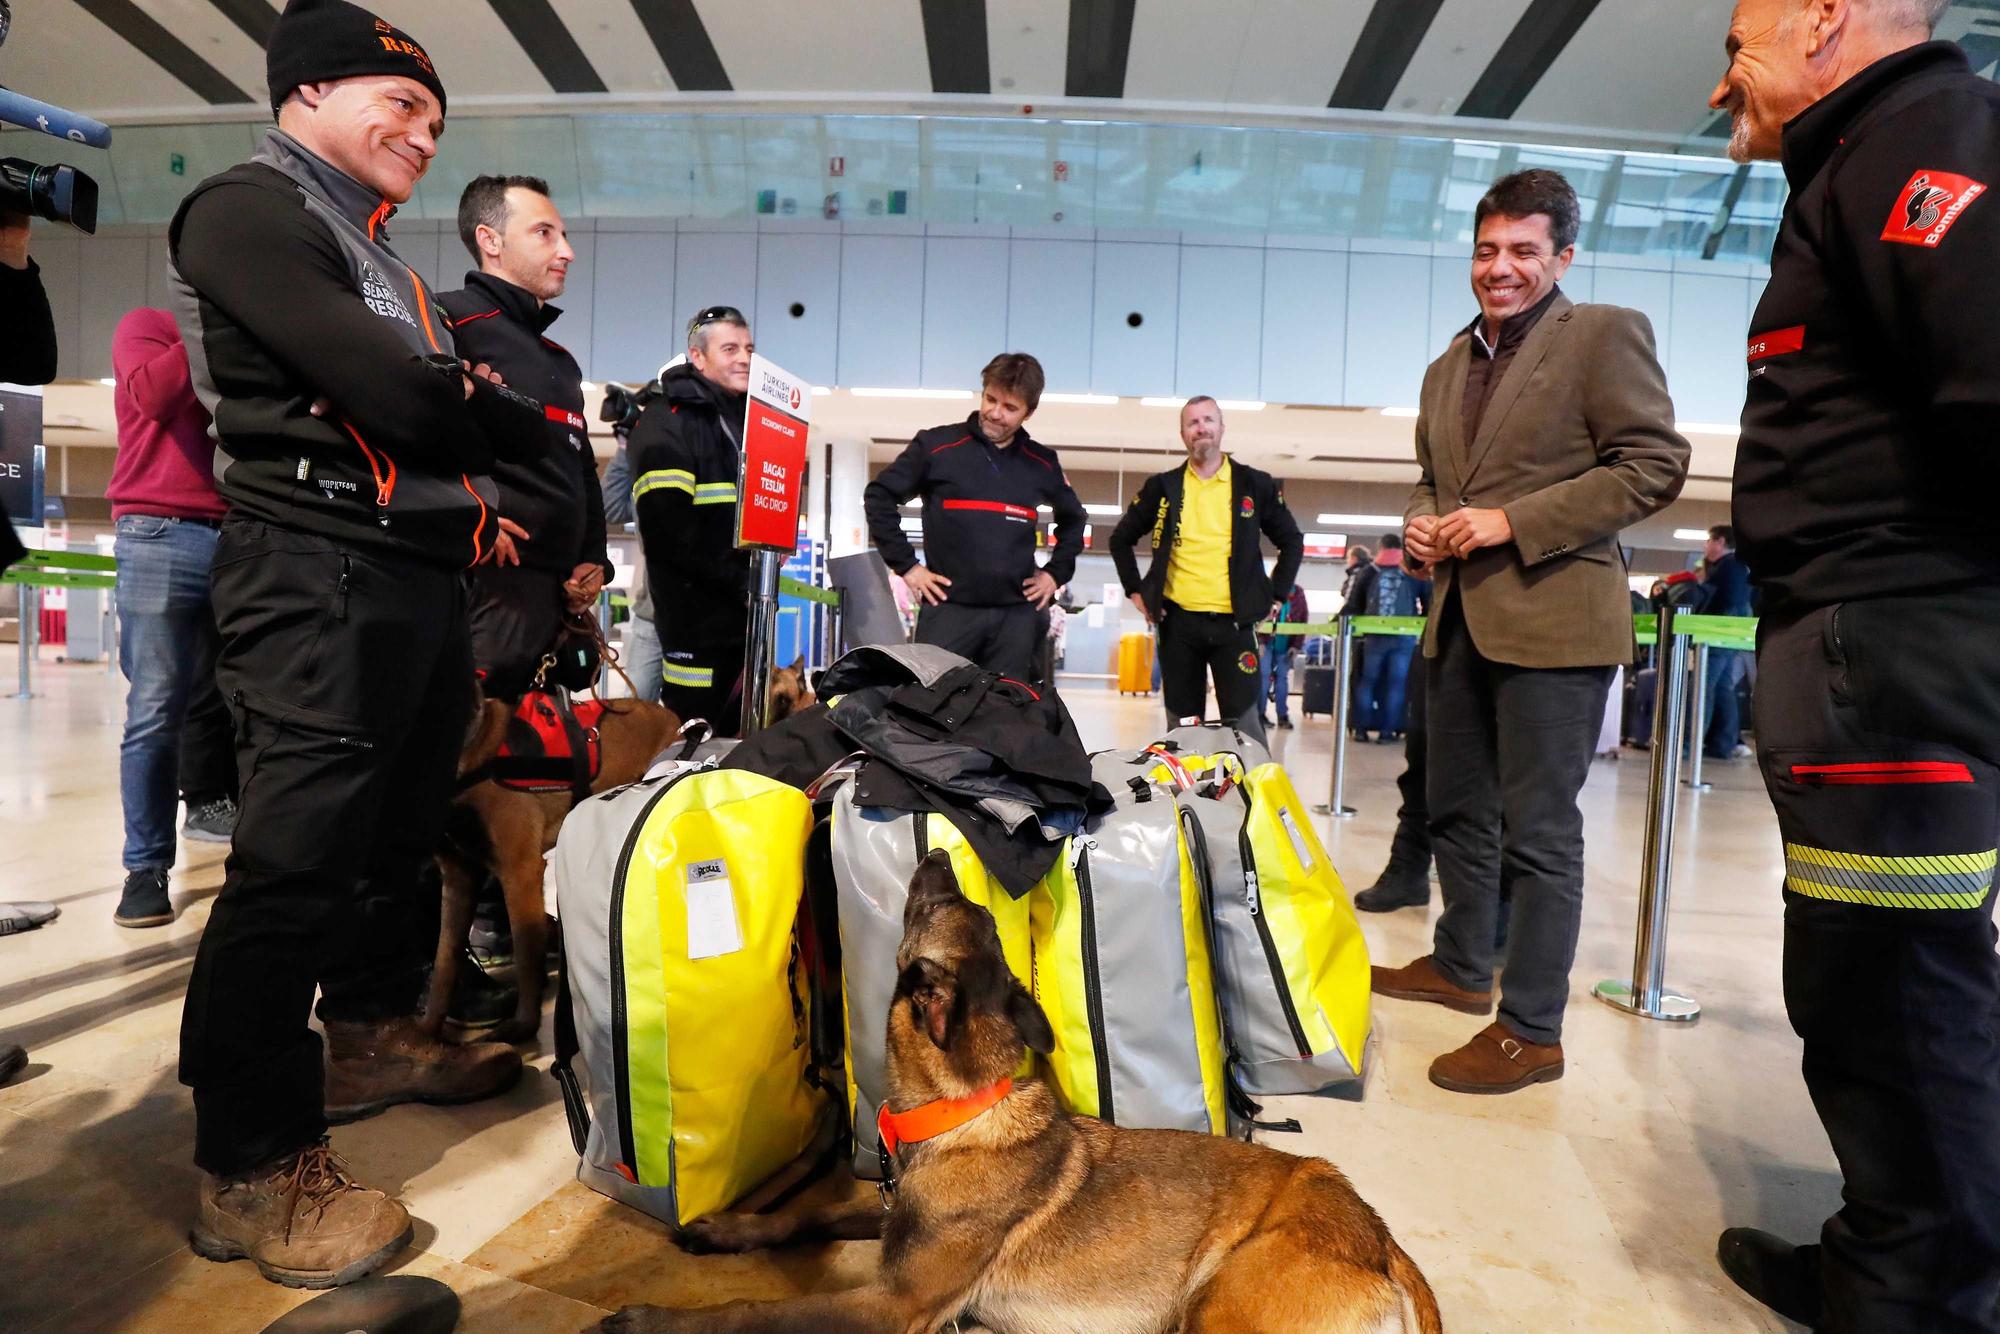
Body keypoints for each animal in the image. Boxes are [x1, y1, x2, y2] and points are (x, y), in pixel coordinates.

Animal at [426, 656, 816, 1040]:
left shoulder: (519, 872)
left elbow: (524, 957)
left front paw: (522, 1025)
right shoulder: (458, 880)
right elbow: (444, 963)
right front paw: (427, 1035)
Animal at [600, 856, 1448, 1334]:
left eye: (933, 908)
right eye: (967, 913)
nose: (938, 849)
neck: (962, 1112)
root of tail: (1379, 1241)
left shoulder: (891, 1308)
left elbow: (753, 1312)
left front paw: (650, 1318)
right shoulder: (891, 1219)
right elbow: (808, 1214)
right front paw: (725, 1229)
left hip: (1214, 1311)